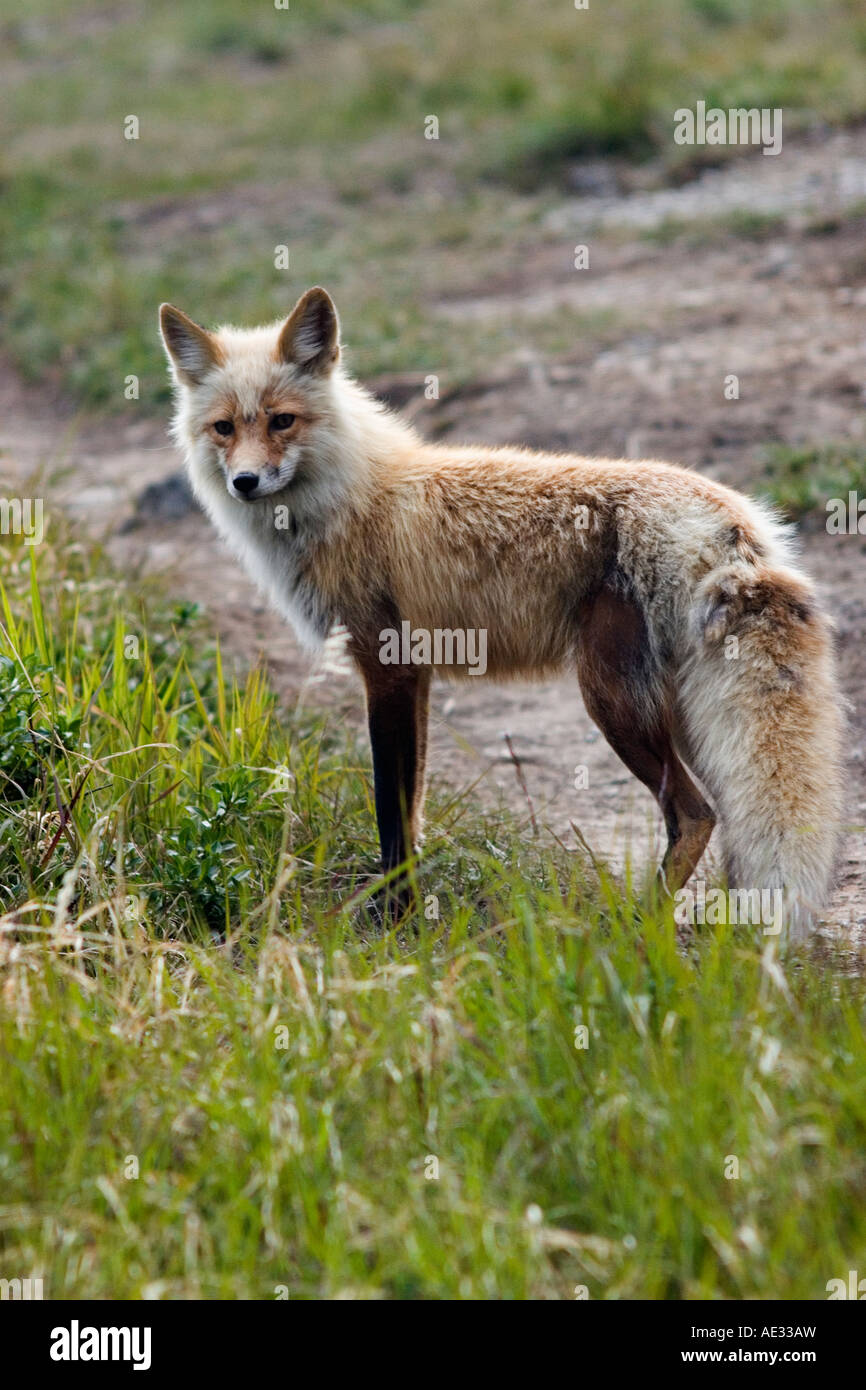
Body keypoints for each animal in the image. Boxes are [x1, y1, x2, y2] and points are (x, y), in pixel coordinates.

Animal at [159, 286, 843, 934]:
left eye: (282, 421)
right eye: (224, 428)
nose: (245, 482)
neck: (349, 498)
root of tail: (730, 515)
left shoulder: (385, 665)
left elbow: (390, 810)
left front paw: (393, 917)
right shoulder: (415, 674)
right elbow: (412, 807)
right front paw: (408, 908)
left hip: (613, 700)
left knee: (694, 813)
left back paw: (635, 927)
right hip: (686, 713)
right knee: (719, 815)